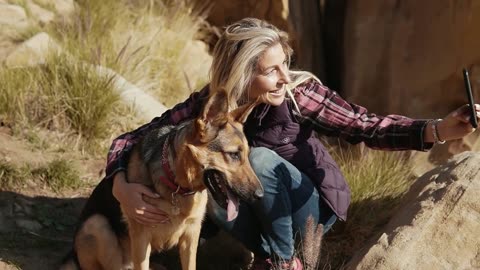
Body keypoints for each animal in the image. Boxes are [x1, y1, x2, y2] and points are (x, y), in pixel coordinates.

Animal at [61, 91, 262, 270]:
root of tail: (72, 255)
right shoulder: (141, 238)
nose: (260, 196)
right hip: (97, 225)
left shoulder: (191, 236)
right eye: (234, 155)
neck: (177, 185)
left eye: (247, 155)